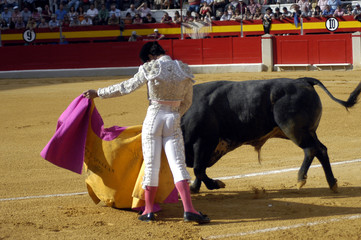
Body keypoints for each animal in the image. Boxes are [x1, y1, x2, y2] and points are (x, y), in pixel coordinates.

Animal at [180, 78, 360, 194]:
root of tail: (302, 80)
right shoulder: (204, 146)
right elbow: (200, 167)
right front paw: (195, 188)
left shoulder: (203, 141)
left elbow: (198, 168)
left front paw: (214, 184)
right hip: (308, 131)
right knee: (321, 150)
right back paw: (332, 183)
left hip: (295, 130)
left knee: (311, 150)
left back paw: (301, 179)